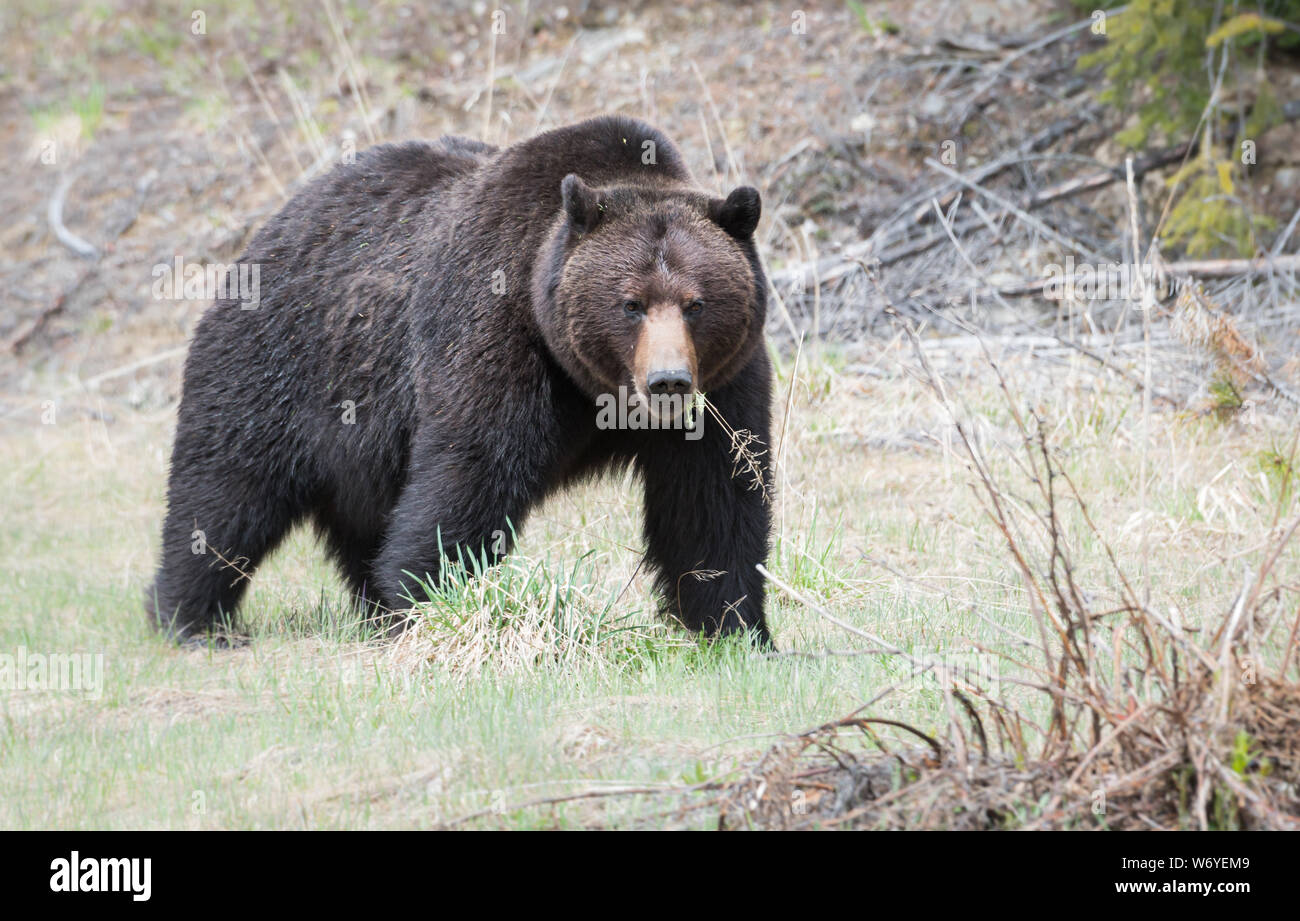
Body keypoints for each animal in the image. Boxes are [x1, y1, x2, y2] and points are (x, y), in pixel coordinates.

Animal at [147, 115, 769, 645]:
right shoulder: (495, 334)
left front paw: (735, 628)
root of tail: (264, 234)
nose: (668, 381)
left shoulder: (723, 384)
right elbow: (470, 473)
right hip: (276, 367)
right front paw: (428, 601)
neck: (596, 388)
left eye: (695, 303)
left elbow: (715, 499)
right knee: (224, 494)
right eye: (631, 303)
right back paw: (190, 619)